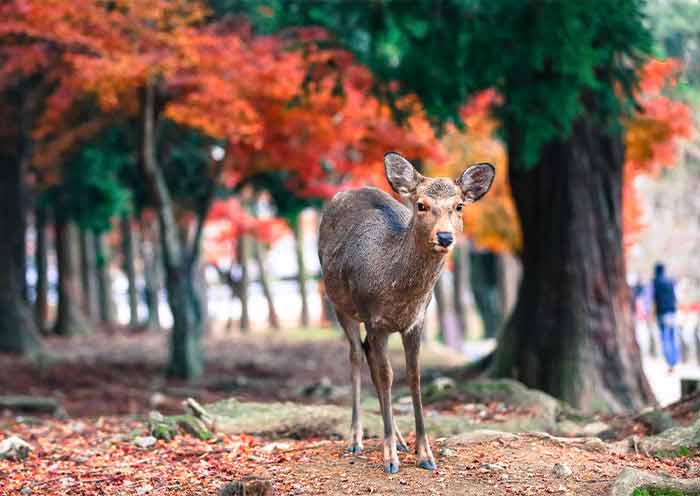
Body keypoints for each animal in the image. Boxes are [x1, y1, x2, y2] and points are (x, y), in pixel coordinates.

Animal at [320, 151, 494, 472]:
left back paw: (400, 439)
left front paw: (424, 453)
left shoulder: (416, 321)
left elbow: (413, 376)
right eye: (421, 205)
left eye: (459, 206)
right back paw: (356, 438)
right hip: (341, 305)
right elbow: (387, 375)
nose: (445, 237)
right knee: (355, 355)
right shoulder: (374, 319)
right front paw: (390, 457)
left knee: (367, 355)